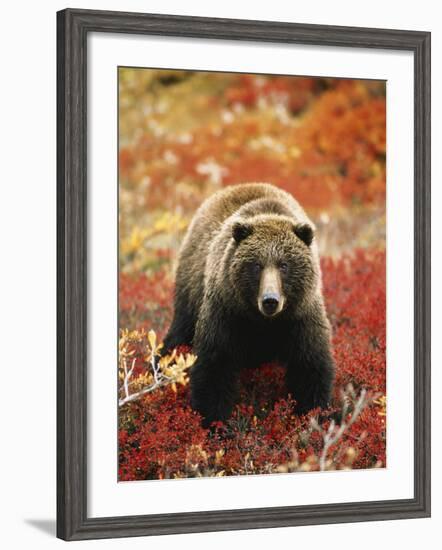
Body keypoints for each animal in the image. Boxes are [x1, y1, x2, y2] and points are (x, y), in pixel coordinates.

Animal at [164, 183, 334, 430]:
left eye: (284, 265)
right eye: (256, 265)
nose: (270, 300)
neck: (263, 322)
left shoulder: (300, 317)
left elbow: (310, 367)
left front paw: (313, 417)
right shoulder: (227, 312)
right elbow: (214, 367)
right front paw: (214, 423)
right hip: (190, 288)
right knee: (179, 333)